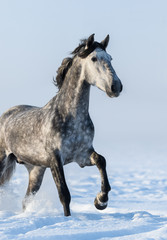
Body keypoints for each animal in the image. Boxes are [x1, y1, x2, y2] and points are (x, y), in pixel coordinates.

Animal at [0, 33, 122, 216]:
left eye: (110, 58)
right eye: (94, 58)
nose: (116, 87)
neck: (71, 117)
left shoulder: (82, 155)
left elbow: (101, 160)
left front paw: (101, 201)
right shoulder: (55, 158)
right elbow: (64, 194)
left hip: (35, 170)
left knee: (26, 199)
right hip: (3, 159)